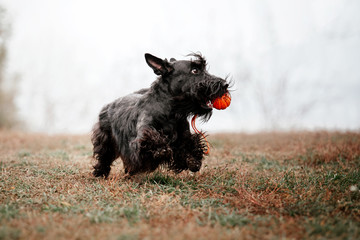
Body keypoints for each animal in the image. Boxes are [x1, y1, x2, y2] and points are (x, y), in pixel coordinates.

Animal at [91, 53, 229, 178]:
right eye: (194, 70)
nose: (224, 84)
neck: (172, 112)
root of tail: (108, 105)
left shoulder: (184, 136)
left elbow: (189, 145)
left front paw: (193, 161)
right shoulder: (141, 137)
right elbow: (154, 141)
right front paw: (161, 150)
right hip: (105, 139)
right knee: (104, 157)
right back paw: (100, 173)